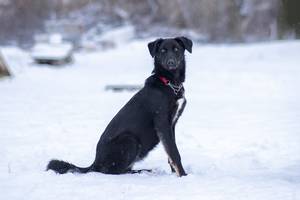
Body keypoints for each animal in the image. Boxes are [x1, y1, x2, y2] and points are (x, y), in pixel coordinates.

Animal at [47, 36, 192, 177]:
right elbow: (174, 152)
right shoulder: (162, 123)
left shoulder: (171, 124)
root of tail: (95, 163)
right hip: (129, 140)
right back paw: (139, 172)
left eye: (176, 49)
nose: (171, 62)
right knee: (113, 171)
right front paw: (183, 175)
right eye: (163, 51)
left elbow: (170, 153)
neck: (169, 84)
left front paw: (174, 173)